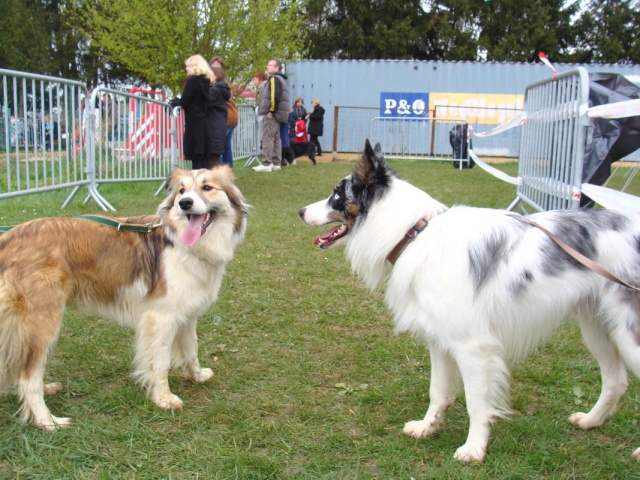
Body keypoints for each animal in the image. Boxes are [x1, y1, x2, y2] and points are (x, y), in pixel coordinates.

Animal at [0, 167, 248, 430]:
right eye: (182, 191)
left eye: (207, 187)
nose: (185, 203)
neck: (182, 243)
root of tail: (9, 238)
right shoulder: (161, 317)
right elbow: (160, 362)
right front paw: (164, 399)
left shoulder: (186, 313)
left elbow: (191, 349)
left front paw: (197, 375)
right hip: (43, 322)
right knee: (28, 377)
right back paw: (47, 421)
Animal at [298, 141, 640, 464]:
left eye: (336, 194)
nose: (300, 211)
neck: (414, 233)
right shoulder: (439, 340)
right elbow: (437, 391)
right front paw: (427, 427)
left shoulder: (472, 347)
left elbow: (477, 403)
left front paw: (474, 449)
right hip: (598, 326)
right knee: (615, 380)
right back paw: (591, 421)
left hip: (628, 333)